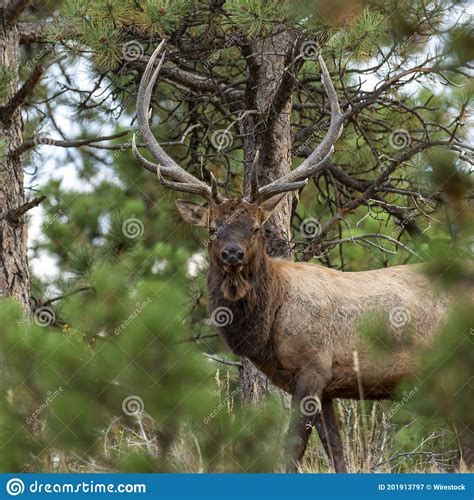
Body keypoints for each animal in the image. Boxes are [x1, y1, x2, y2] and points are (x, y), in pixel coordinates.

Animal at [133, 41, 456, 470]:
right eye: (212, 229)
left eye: (255, 227)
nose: (232, 253)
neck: (268, 328)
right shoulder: (329, 386)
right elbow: (337, 453)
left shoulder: (313, 368)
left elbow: (291, 451)